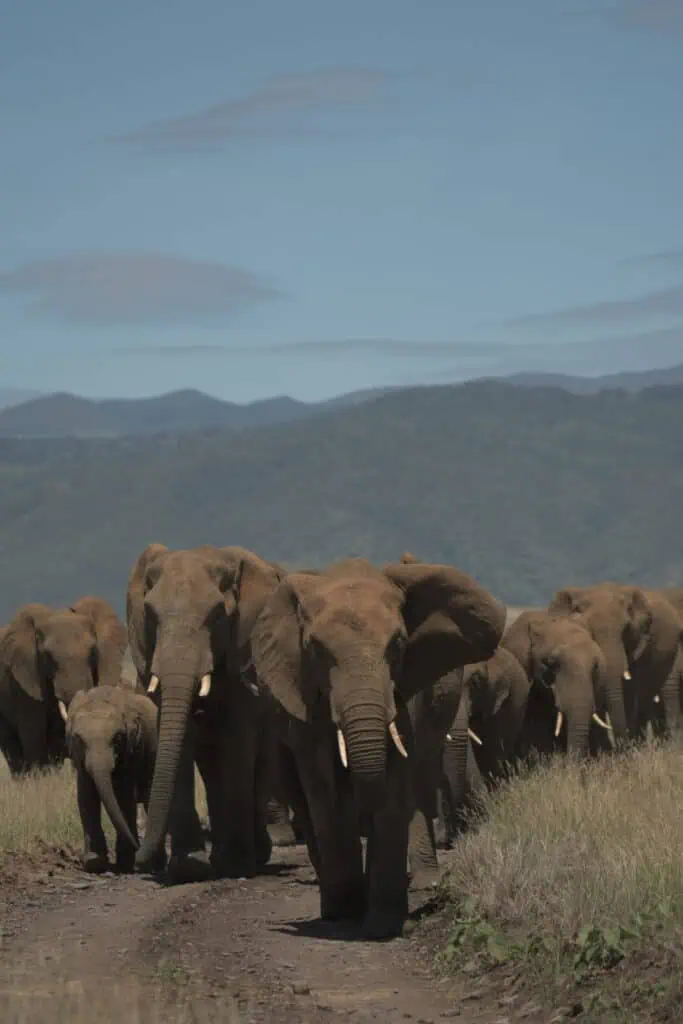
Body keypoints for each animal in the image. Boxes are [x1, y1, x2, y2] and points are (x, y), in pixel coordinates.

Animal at [63, 684, 158, 874]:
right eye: (79, 739)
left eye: (118, 738)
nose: (138, 847)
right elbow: (86, 796)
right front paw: (94, 863)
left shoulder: (131, 750)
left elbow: (123, 796)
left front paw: (125, 865)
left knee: (149, 799)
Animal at [126, 543, 284, 882]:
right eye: (150, 614)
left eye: (217, 615)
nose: (140, 861)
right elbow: (181, 739)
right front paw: (189, 867)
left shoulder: (242, 651)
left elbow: (238, 739)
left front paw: (236, 866)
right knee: (212, 769)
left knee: (262, 761)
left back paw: (256, 855)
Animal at [250, 555, 506, 939]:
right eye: (315, 649)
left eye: (398, 644)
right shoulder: (306, 696)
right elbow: (323, 786)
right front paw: (345, 913)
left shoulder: (406, 692)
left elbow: (396, 782)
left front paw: (383, 924)